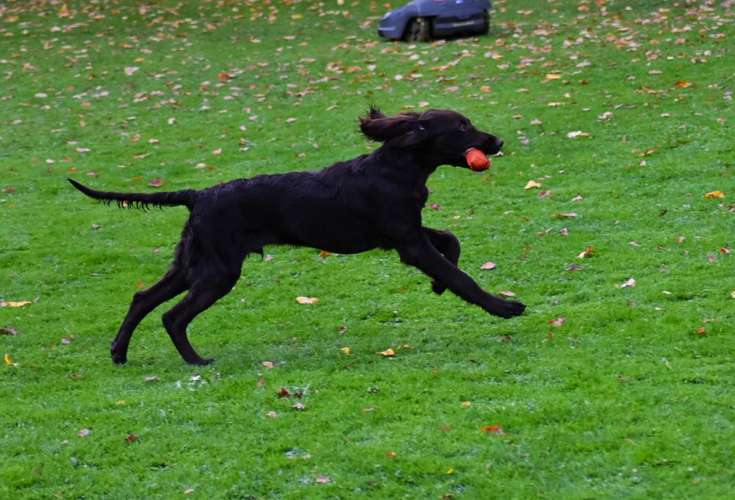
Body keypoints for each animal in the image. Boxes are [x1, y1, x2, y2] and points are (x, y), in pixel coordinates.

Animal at [70, 107, 524, 366]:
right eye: (462, 127)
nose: (498, 141)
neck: (397, 166)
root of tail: (199, 194)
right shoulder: (408, 242)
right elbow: (461, 276)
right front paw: (504, 307)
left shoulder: (404, 233)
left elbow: (450, 241)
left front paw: (437, 287)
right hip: (218, 271)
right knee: (172, 315)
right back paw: (197, 362)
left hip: (193, 262)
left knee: (142, 298)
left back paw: (119, 353)